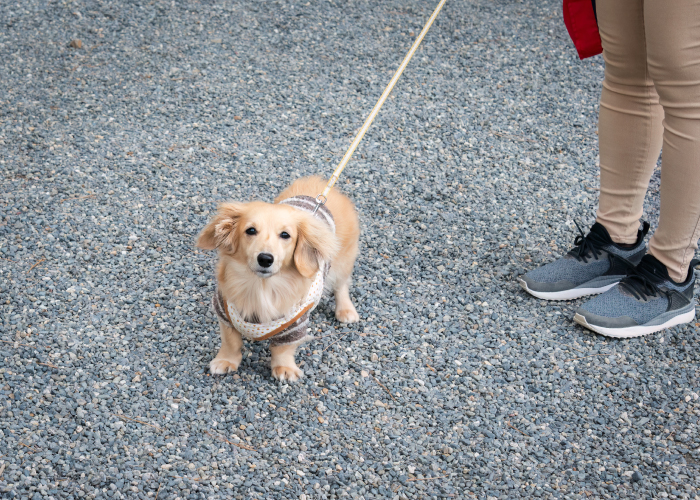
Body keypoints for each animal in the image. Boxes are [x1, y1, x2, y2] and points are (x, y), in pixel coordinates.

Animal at [197, 175, 360, 378]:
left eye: (285, 235)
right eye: (251, 230)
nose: (265, 259)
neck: (261, 287)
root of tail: (322, 185)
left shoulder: (295, 326)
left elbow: (283, 349)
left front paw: (284, 368)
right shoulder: (224, 312)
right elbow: (230, 342)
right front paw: (225, 361)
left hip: (342, 262)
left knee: (342, 285)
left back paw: (346, 310)